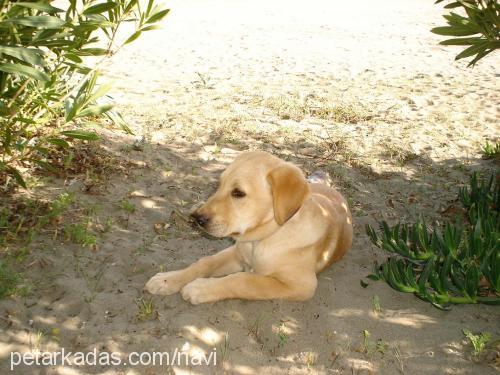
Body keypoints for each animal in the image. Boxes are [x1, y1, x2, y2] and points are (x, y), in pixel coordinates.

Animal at [145, 151, 352, 304]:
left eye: (238, 193)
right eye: (219, 185)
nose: (197, 219)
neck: (263, 239)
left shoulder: (301, 285)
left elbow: (241, 280)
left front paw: (201, 287)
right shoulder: (236, 252)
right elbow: (205, 262)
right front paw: (167, 280)